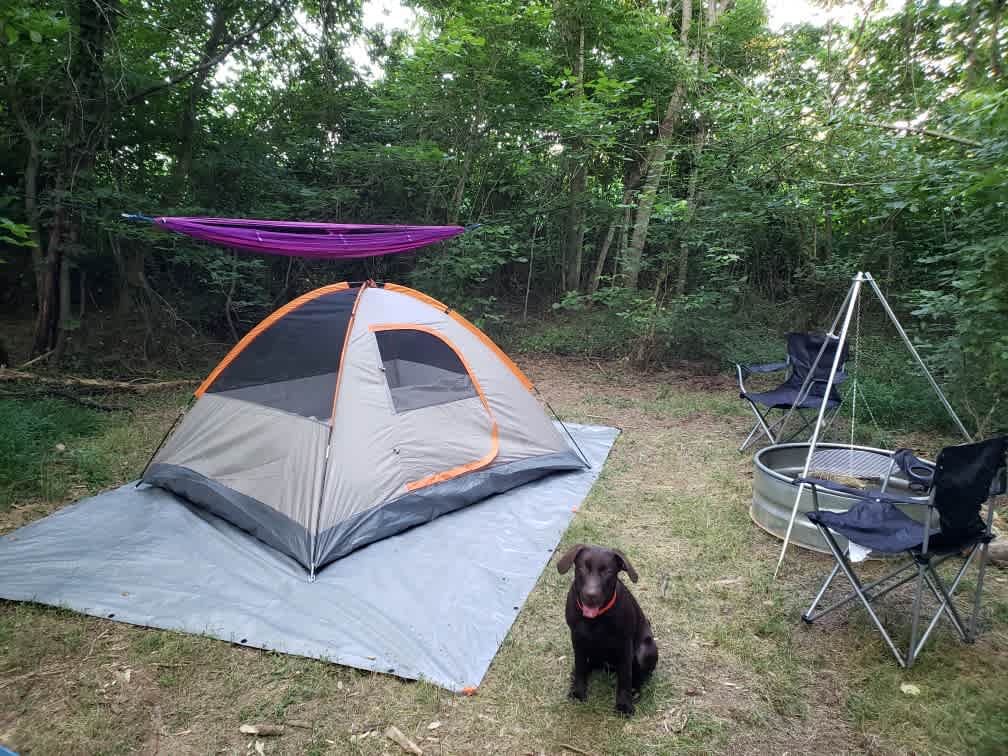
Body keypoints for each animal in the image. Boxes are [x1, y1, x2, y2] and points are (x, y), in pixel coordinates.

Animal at [556, 544, 657, 717]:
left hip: (645, 650)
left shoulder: (624, 645)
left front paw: (624, 705)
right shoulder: (577, 638)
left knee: (640, 675)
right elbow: (580, 665)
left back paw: (635, 690)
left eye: (608, 572)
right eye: (583, 567)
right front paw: (578, 692)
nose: (591, 595)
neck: (596, 619)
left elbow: (625, 676)